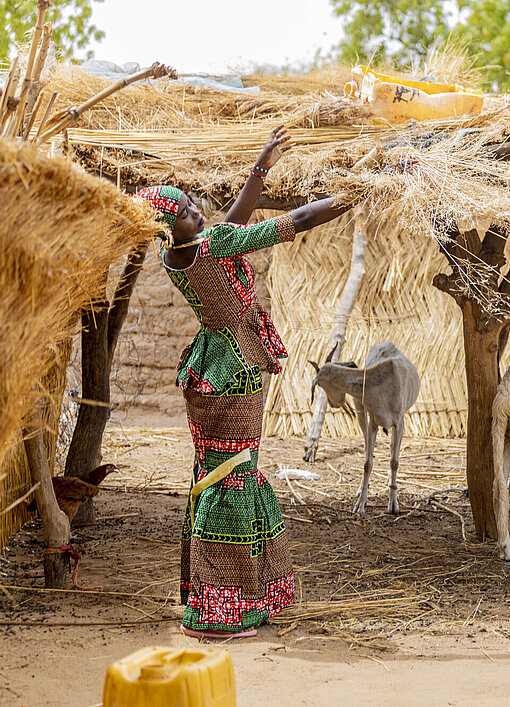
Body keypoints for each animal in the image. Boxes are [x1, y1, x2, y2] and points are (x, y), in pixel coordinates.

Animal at [310, 342, 418, 516]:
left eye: (321, 384)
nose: (332, 404)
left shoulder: (399, 422)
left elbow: (394, 462)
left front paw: (393, 504)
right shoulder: (373, 420)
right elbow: (367, 462)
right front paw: (360, 504)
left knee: (390, 448)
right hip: (361, 411)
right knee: (369, 449)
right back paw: (363, 489)